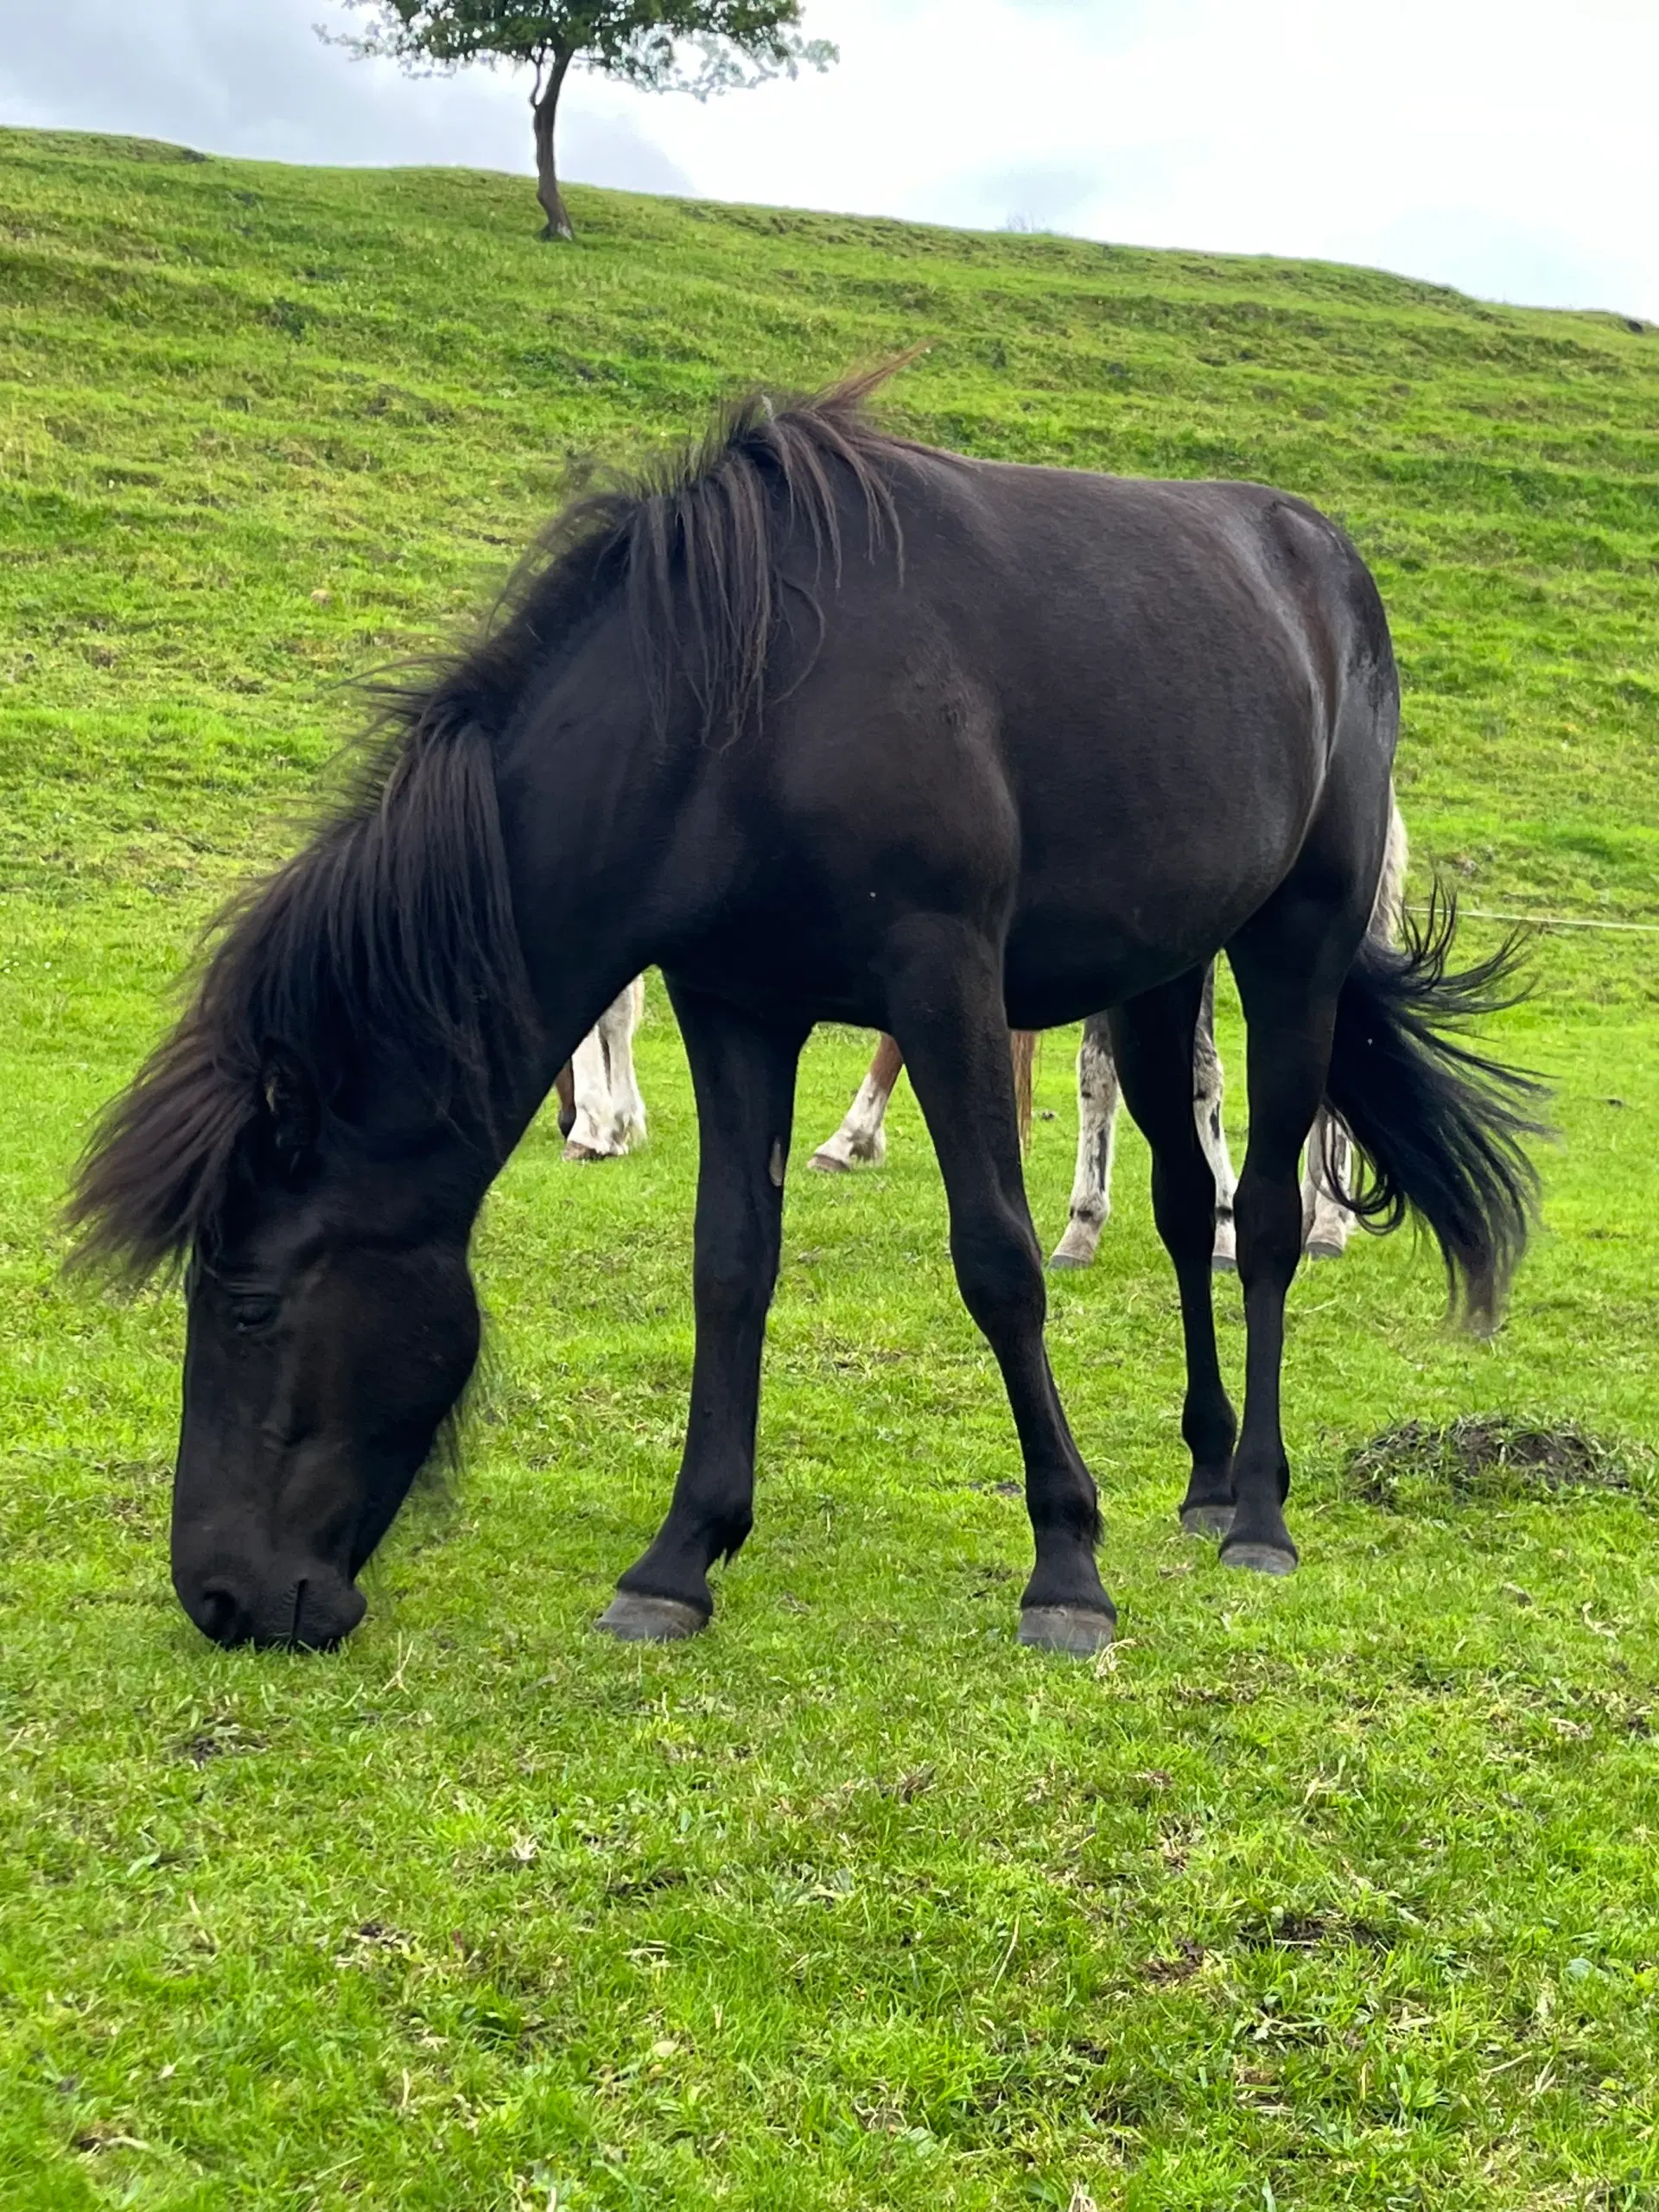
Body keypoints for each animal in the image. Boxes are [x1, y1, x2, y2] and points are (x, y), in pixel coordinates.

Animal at [65, 362, 1548, 1654]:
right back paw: (1202, 1474)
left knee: (1270, 1225)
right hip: (1156, 973)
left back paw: (1257, 1513)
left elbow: (997, 1261)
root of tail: (1317, 554)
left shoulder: (943, 986)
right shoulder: (735, 1006)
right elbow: (731, 1263)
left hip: (1295, 946)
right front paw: (678, 1559)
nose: (221, 1595)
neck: (743, 704)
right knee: (1191, 1209)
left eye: (250, 1304)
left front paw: (1067, 1565)